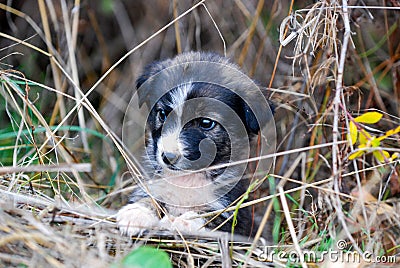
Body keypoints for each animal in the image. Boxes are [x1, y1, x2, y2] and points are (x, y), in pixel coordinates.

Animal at [115, 51, 272, 238]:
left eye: (206, 123)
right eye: (162, 114)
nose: (168, 157)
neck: (187, 178)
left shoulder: (236, 216)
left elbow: (210, 215)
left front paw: (183, 221)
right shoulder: (155, 185)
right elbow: (149, 197)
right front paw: (137, 213)